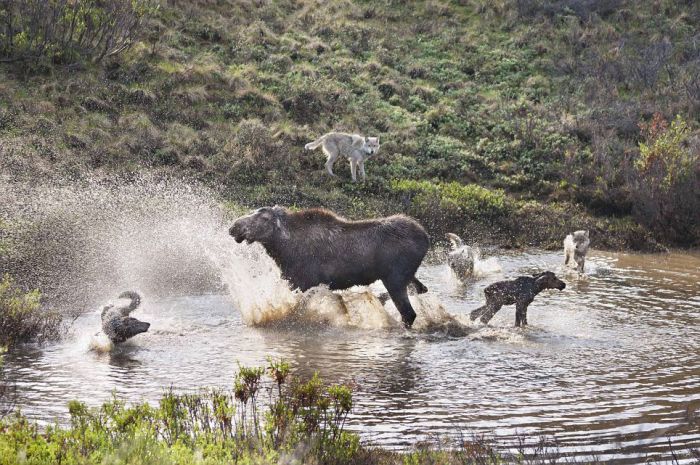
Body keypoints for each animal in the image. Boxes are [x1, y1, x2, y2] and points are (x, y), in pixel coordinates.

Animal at [230, 207, 430, 326]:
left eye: (264, 217)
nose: (234, 226)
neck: (282, 250)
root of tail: (426, 237)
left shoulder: (304, 283)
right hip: (405, 276)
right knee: (421, 290)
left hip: (394, 278)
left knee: (409, 313)